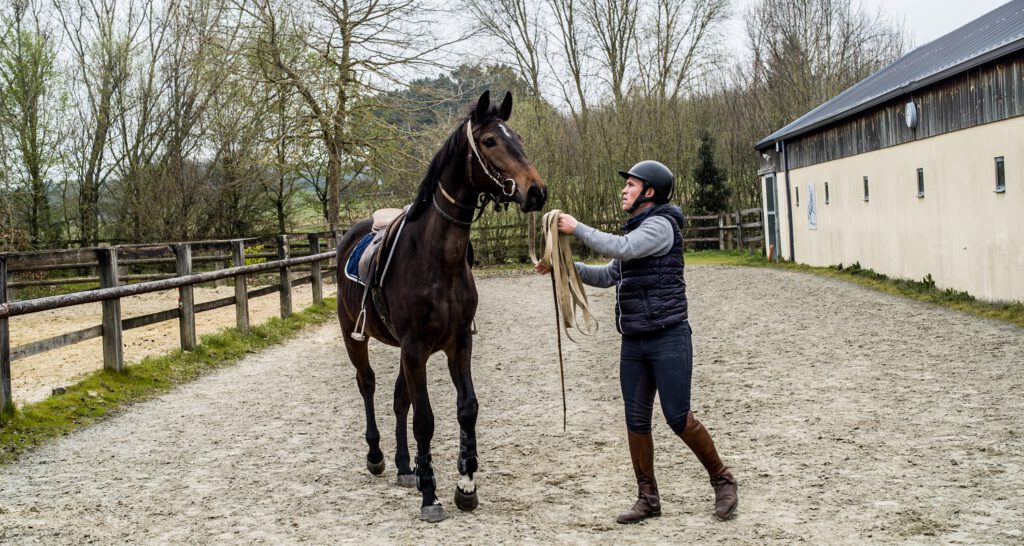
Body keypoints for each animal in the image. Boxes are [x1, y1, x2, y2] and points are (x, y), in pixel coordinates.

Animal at [335, 91, 547, 522]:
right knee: (368, 384)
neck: (436, 257)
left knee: (399, 399)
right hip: (355, 336)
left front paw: (465, 486)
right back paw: (377, 456)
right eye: (489, 141)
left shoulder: (458, 343)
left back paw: (404, 466)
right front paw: (430, 496)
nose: (536, 191)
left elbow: (466, 408)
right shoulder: (416, 348)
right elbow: (425, 419)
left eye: (516, 137)